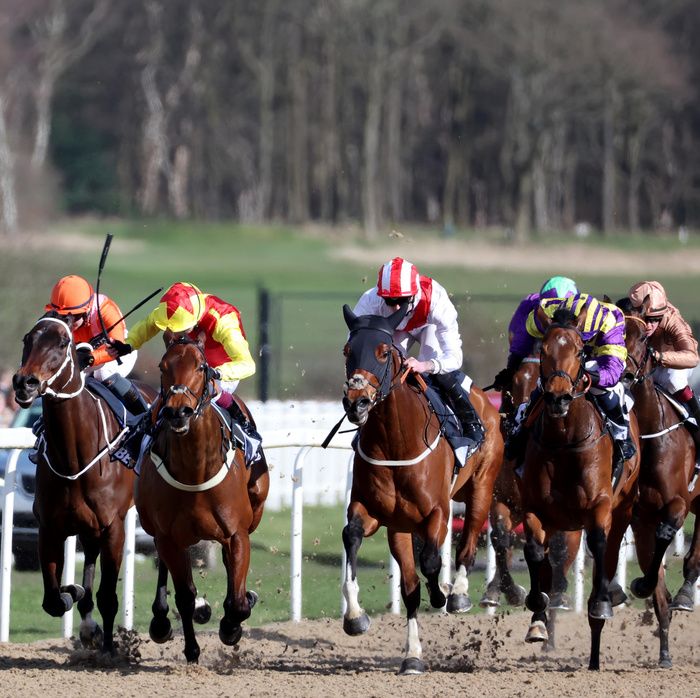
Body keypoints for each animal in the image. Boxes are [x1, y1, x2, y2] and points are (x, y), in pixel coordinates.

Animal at [12, 314, 156, 652]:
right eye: (27, 339)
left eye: (63, 343)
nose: (25, 383)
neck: (74, 456)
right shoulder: (50, 526)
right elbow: (53, 599)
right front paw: (72, 593)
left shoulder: (114, 527)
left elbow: (109, 597)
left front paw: (110, 650)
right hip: (87, 526)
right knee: (89, 556)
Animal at [135, 334, 270, 660]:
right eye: (163, 366)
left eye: (200, 366)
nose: (178, 411)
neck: (194, 470)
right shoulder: (168, 536)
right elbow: (185, 595)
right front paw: (192, 647)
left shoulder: (236, 533)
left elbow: (238, 602)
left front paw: (231, 626)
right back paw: (162, 620)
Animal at [340, 306, 500, 676]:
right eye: (347, 351)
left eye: (384, 353)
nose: (357, 403)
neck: (395, 442)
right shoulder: (375, 513)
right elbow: (352, 536)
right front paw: (355, 617)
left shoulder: (437, 512)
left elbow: (430, 560)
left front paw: (442, 592)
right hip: (400, 527)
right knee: (411, 586)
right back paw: (412, 654)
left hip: (482, 486)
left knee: (469, 540)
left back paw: (458, 592)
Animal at [520, 306, 640, 668]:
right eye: (544, 350)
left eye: (578, 351)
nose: (558, 397)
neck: (564, 440)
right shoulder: (535, 507)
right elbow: (536, 553)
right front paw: (537, 610)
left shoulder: (599, 506)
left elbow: (599, 545)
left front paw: (600, 604)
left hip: (623, 507)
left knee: (609, 553)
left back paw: (596, 651)